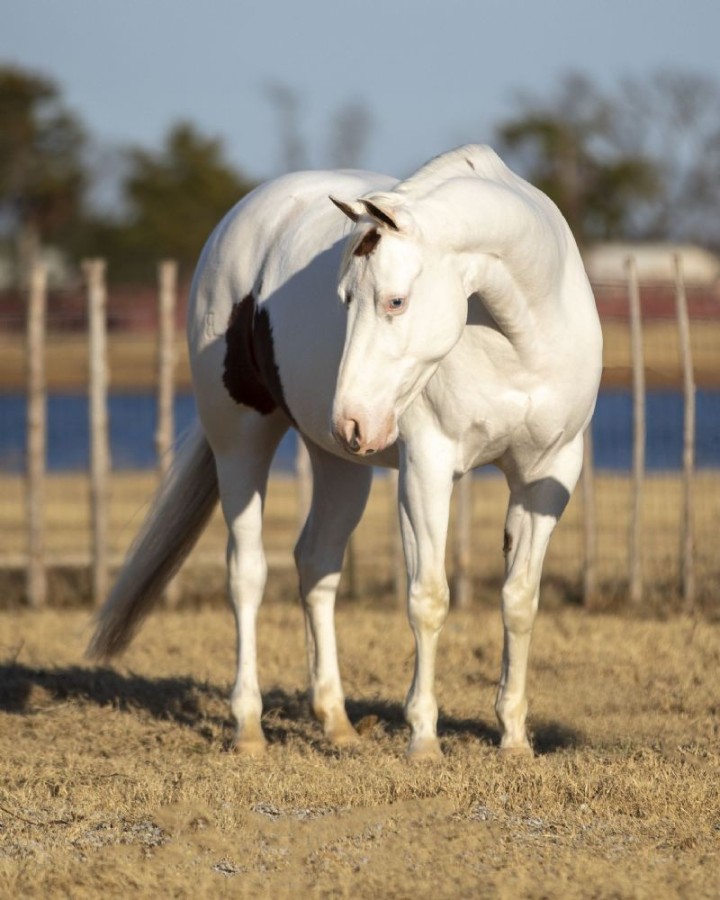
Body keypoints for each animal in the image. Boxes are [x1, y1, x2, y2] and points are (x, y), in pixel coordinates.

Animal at [88, 145, 603, 761]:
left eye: (395, 301)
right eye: (344, 300)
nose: (351, 420)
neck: (519, 340)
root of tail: (238, 222)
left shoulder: (545, 476)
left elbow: (520, 600)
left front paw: (515, 740)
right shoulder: (427, 470)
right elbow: (428, 597)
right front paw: (423, 740)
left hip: (341, 466)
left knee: (318, 563)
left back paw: (336, 721)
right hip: (240, 440)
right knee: (247, 574)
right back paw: (249, 727)